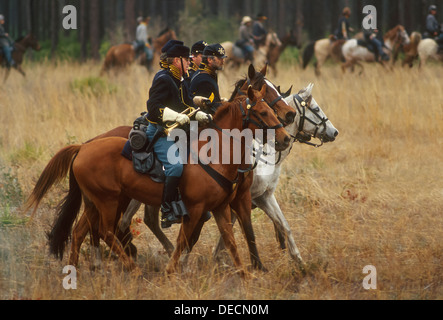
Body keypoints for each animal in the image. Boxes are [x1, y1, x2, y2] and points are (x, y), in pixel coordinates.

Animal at [26, 85, 292, 278]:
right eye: (262, 112)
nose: (285, 138)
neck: (215, 154)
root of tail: (83, 147)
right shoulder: (196, 210)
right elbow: (184, 240)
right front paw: (171, 270)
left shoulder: (221, 207)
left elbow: (232, 241)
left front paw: (246, 274)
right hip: (109, 202)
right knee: (106, 231)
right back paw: (132, 269)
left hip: (94, 203)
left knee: (80, 232)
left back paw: (74, 272)